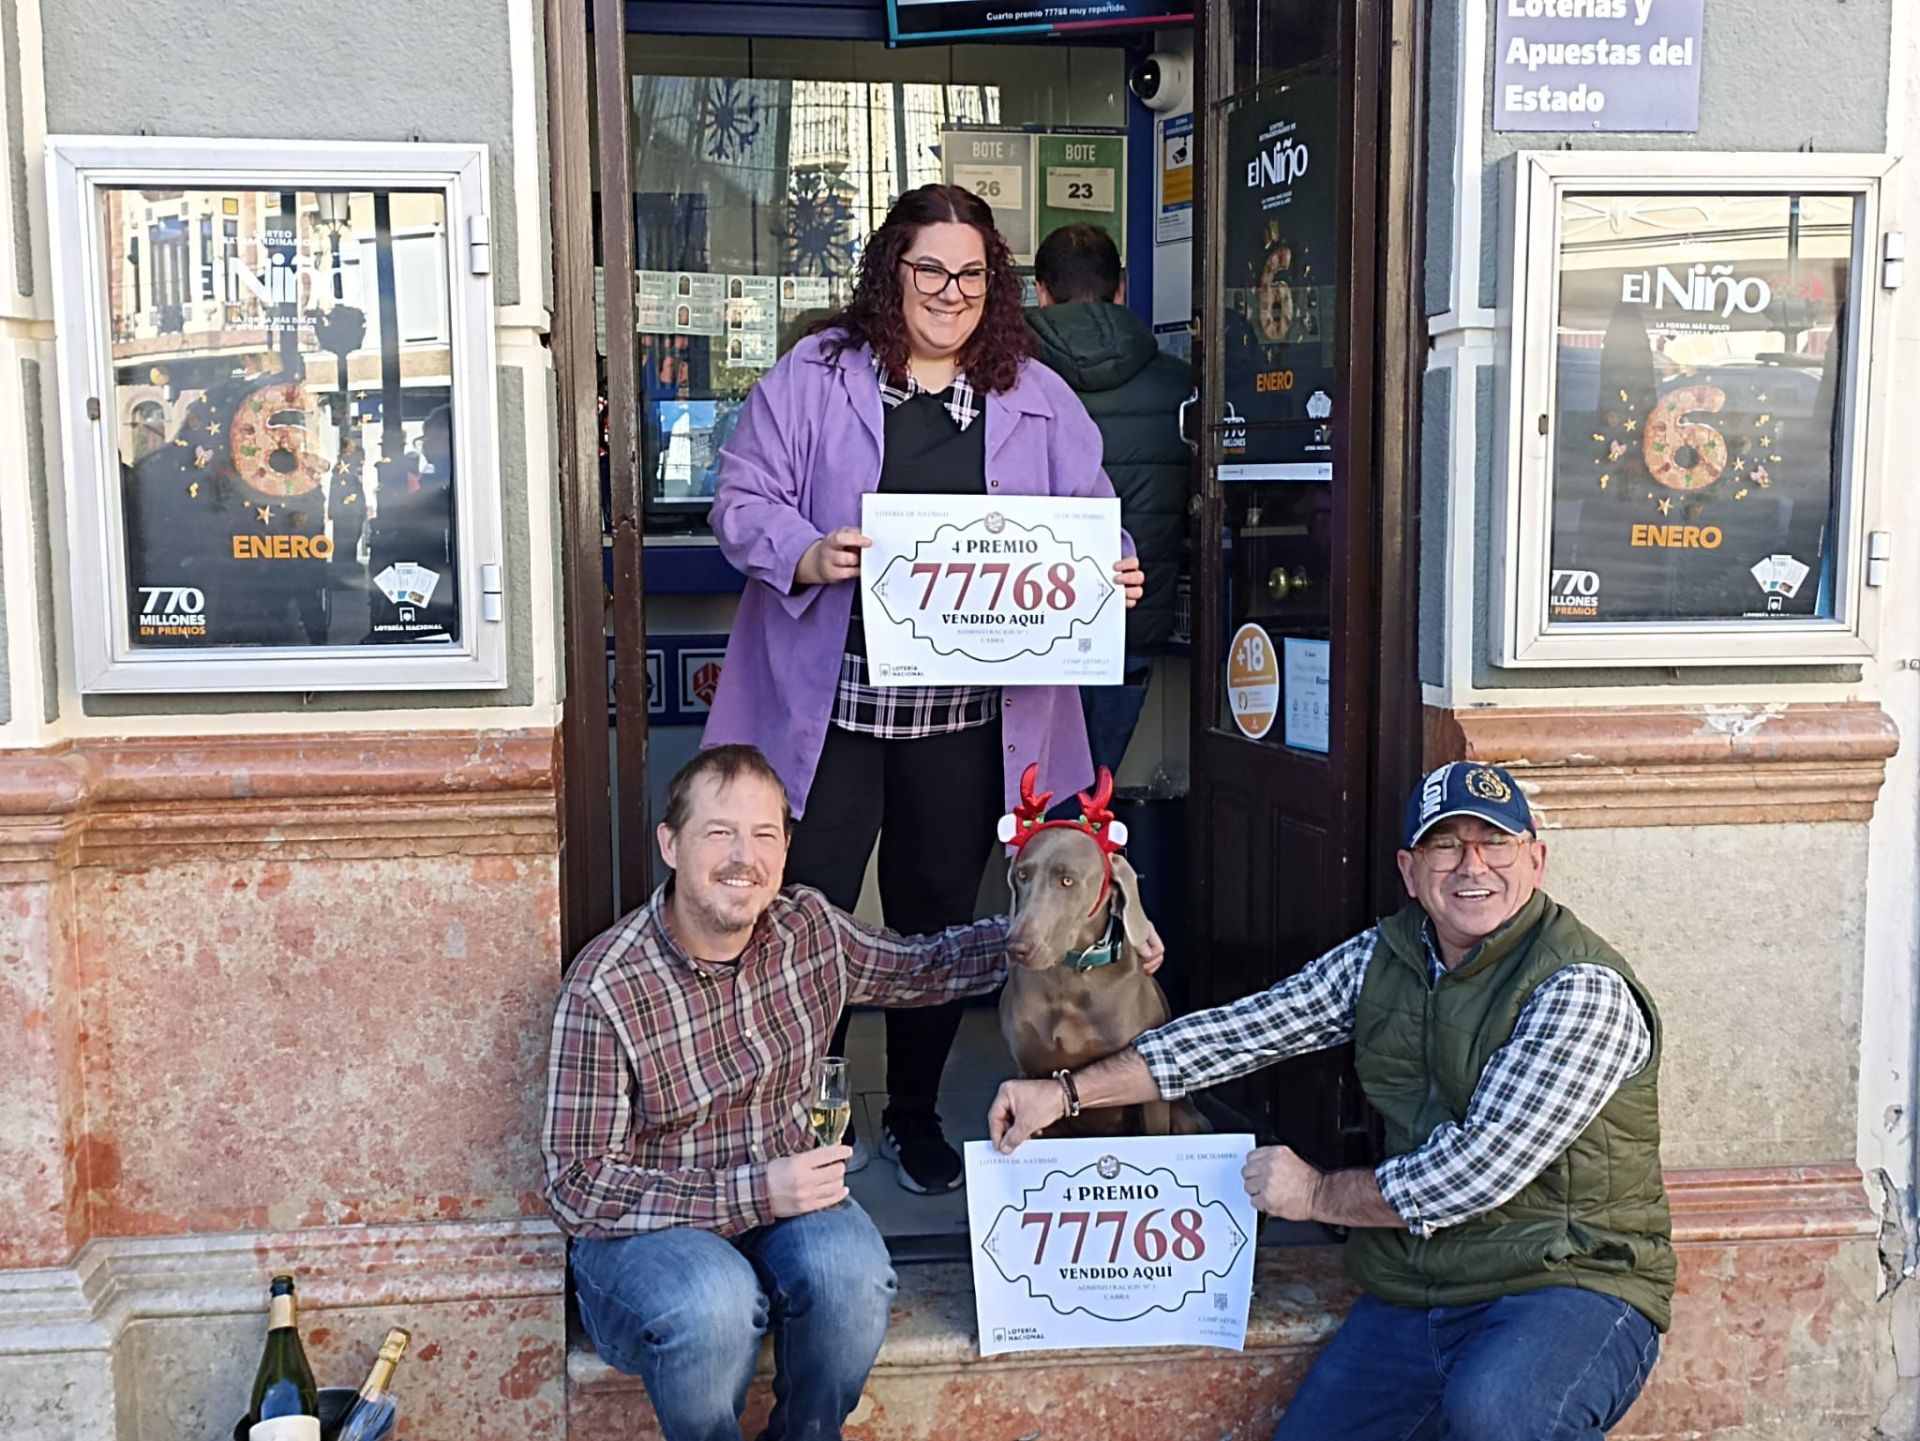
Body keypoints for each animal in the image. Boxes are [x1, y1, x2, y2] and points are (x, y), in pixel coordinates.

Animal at [998, 767, 1205, 1135]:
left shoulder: (1148, 1089)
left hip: (1187, 1117)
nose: (1016, 947)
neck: (1068, 980)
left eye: (1067, 881)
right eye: (1022, 875)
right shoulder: (1028, 1076)